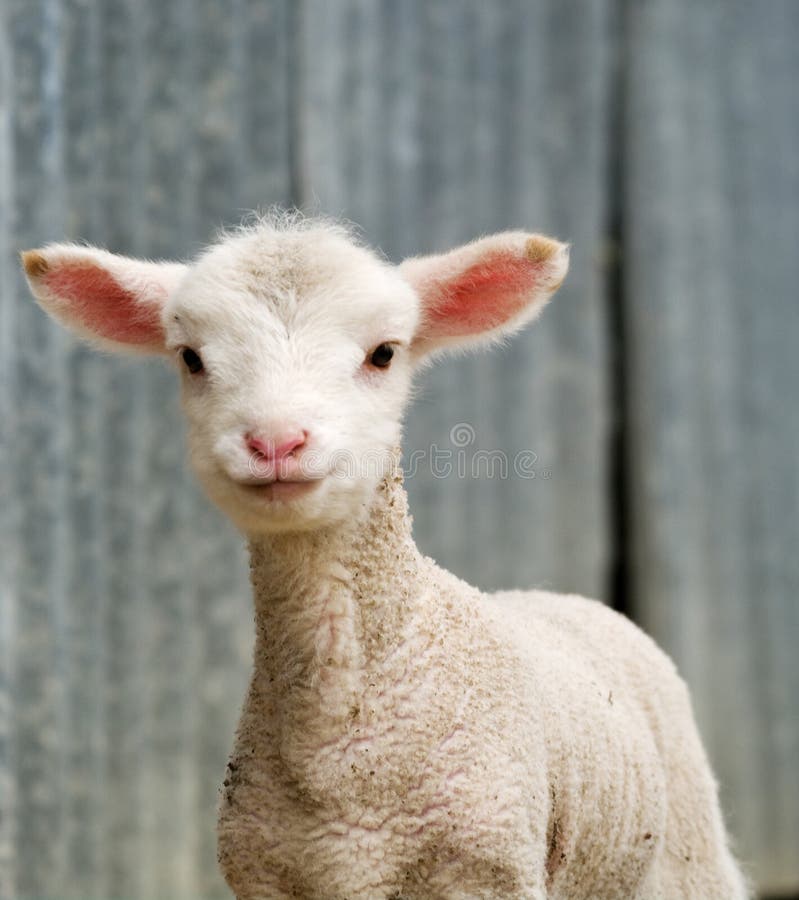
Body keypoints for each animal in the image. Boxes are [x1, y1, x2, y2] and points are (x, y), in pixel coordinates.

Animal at [22, 214, 749, 899]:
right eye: (190, 359)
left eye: (383, 354)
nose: (276, 442)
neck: (340, 752)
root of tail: (556, 596)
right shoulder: (266, 874)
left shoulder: (487, 867)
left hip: (687, 856)